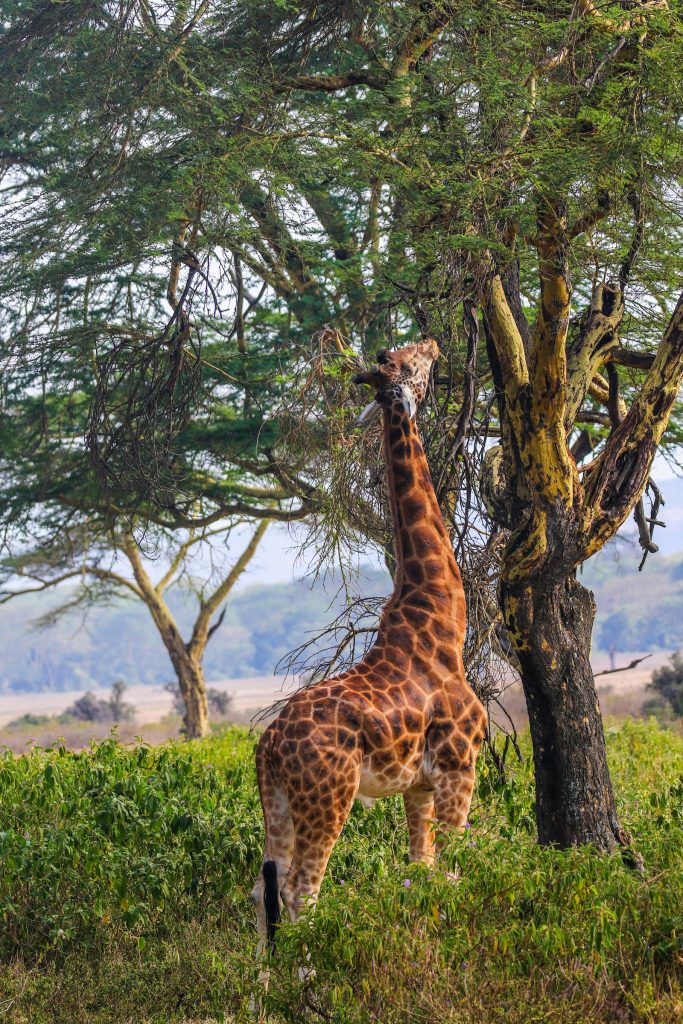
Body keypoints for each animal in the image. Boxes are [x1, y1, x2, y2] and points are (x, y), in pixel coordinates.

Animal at [252, 338, 487, 953]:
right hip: (328, 798)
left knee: (263, 889)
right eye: (411, 362)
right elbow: (461, 867)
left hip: (277, 802)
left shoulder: (419, 786)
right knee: (301, 893)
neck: (442, 618)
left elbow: (422, 871)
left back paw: (260, 979)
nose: (434, 344)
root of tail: (269, 747)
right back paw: (308, 972)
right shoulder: (458, 765)